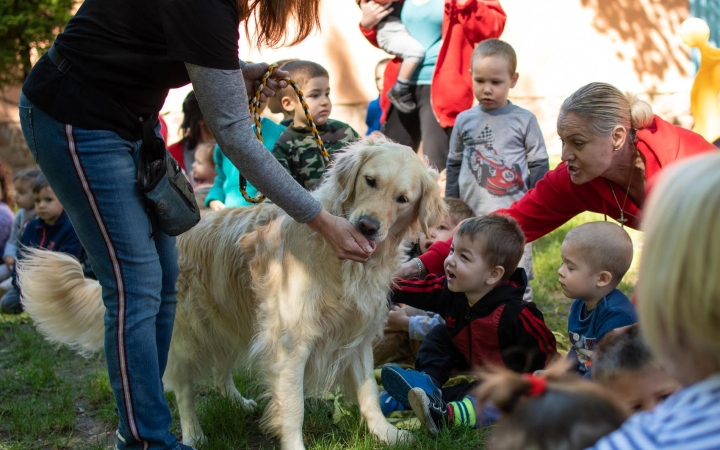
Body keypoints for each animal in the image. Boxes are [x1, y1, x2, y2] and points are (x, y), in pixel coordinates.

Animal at [16, 137, 444, 450]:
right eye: (370, 181)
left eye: (403, 199)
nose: (367, 226)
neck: (345, 262)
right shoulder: (291, 342)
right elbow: (292, 408)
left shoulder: (355, 334)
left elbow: (369, 392)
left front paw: (388, 434)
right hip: (184, 333)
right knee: (183, 389)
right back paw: (192, 434)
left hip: (234, 319)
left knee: (222, 371)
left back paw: (237, 402)